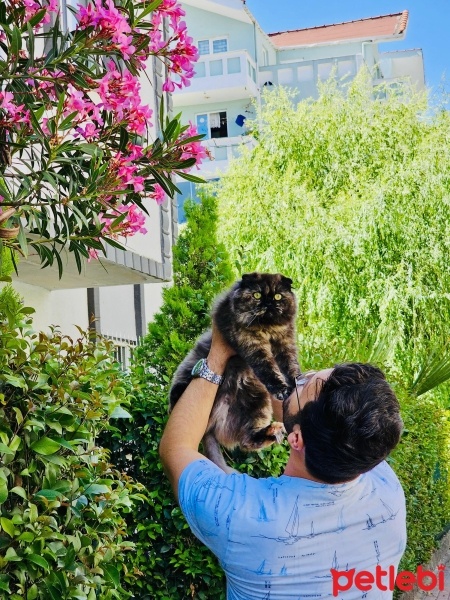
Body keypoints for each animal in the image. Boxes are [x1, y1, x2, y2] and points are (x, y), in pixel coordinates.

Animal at [167, 274, 300, 474]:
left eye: (278, 297)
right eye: (257, 295)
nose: (269, 304)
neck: (267, 329)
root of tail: (212, 424)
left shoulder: (285, 342)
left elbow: (290, 366)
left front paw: (296, 384)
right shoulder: (250, 342)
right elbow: (266, 367)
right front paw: (281, 388)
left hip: (257, 404)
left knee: (248, 441)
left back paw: (272, 431)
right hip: (188, 371)